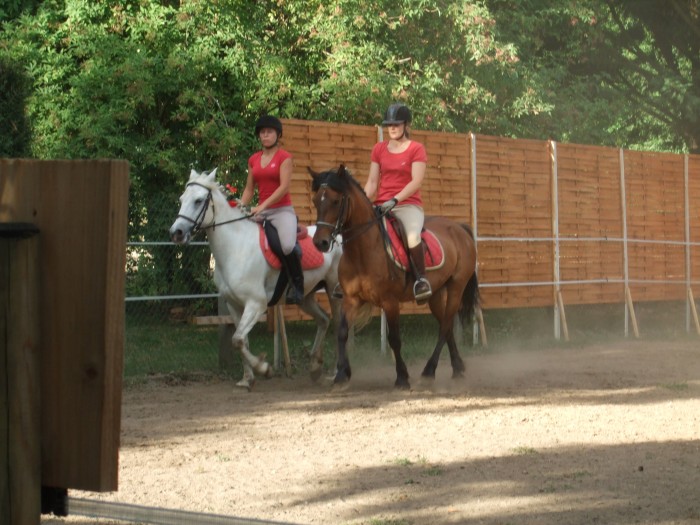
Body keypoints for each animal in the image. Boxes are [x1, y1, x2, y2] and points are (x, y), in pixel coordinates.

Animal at [170, 168, 344, 388]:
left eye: (199, 201)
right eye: (181, 199)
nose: (176, 232)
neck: (236, 247)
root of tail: (338, 237)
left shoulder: (256, 303)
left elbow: (237, 339)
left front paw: (264, 369)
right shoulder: (235, 305)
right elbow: (242, 340)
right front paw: (247, 379)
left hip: (334, 290)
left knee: (338, 325)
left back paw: (336, 372)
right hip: (306, 296)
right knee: (323, 320)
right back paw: (315, 367)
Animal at [308, 164, 478, 388]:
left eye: (336, 201)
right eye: (316, 200)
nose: (320, 243)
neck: (363, 250)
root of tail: (460, 228)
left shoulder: (390, 302)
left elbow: (394, 339)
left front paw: (402, 377)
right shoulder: (351, 299)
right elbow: (342, 332)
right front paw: (342, 375)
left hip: (456, 288)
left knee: (444, 327)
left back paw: (429, 371)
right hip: (434, 294)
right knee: (446, 326)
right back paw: (457, 368)